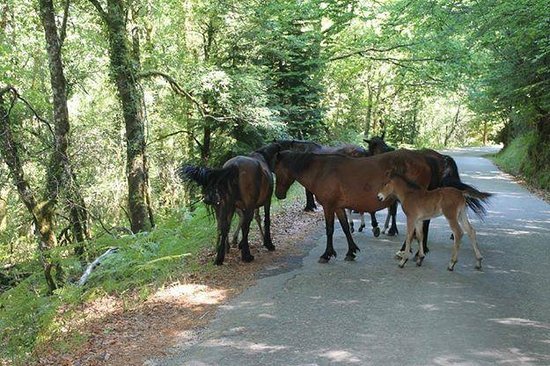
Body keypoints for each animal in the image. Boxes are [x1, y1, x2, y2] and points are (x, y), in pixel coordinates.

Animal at [276, 149, 440, 264]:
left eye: (277, 171)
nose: (278, 195)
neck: (321, 171)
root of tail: (424, 159)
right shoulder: (338, 207)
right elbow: (345, 228)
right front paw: (351, 251)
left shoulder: (328, 206)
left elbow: (330, 229)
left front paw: (327, 254)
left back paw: (405, 252)